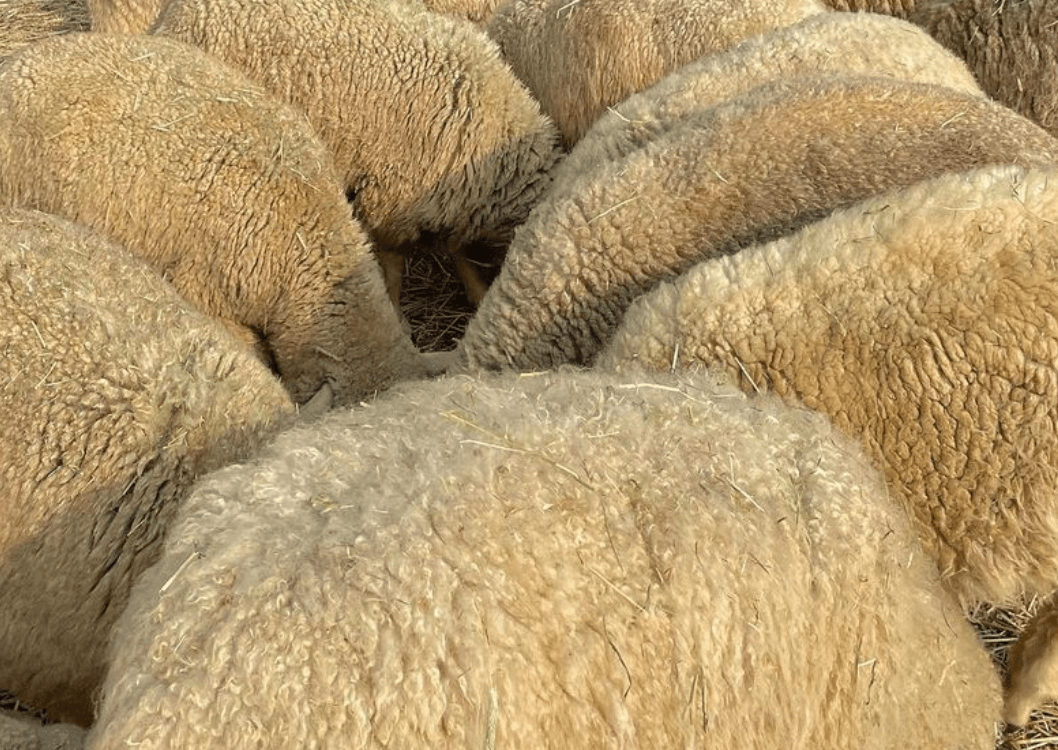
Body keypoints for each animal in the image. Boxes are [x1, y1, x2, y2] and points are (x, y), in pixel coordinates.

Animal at [152, 0, 562, 308]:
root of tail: (175, 13)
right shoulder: (394, 197)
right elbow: (395, 262)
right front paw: (397, 308)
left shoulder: (450, 199)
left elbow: (455, 248)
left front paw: (476, 291)